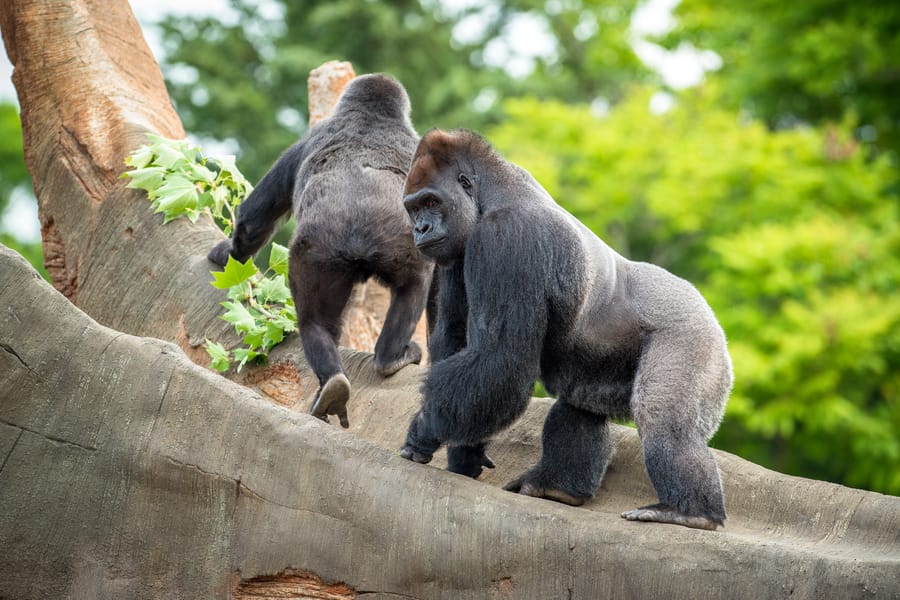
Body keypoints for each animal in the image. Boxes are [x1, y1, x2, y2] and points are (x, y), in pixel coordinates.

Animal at [208, 74, 432, 429]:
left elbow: (252, 221)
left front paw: (228, 254)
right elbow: (255, 220)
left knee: (316, 321)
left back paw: (351, 376)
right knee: (402, 290)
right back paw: (379, 364)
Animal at [398, 129, 733, 530]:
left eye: (431, 202)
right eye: (414, 208)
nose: (420, 229)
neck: (491, 193)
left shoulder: (507, 237)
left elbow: (499, 359)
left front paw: (424, 429)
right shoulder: (456, 252)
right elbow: (458, 345)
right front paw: (464, 454)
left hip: (694, 333)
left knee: (661, 415)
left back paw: (690, 512)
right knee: (579, 404)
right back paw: (558, 488)